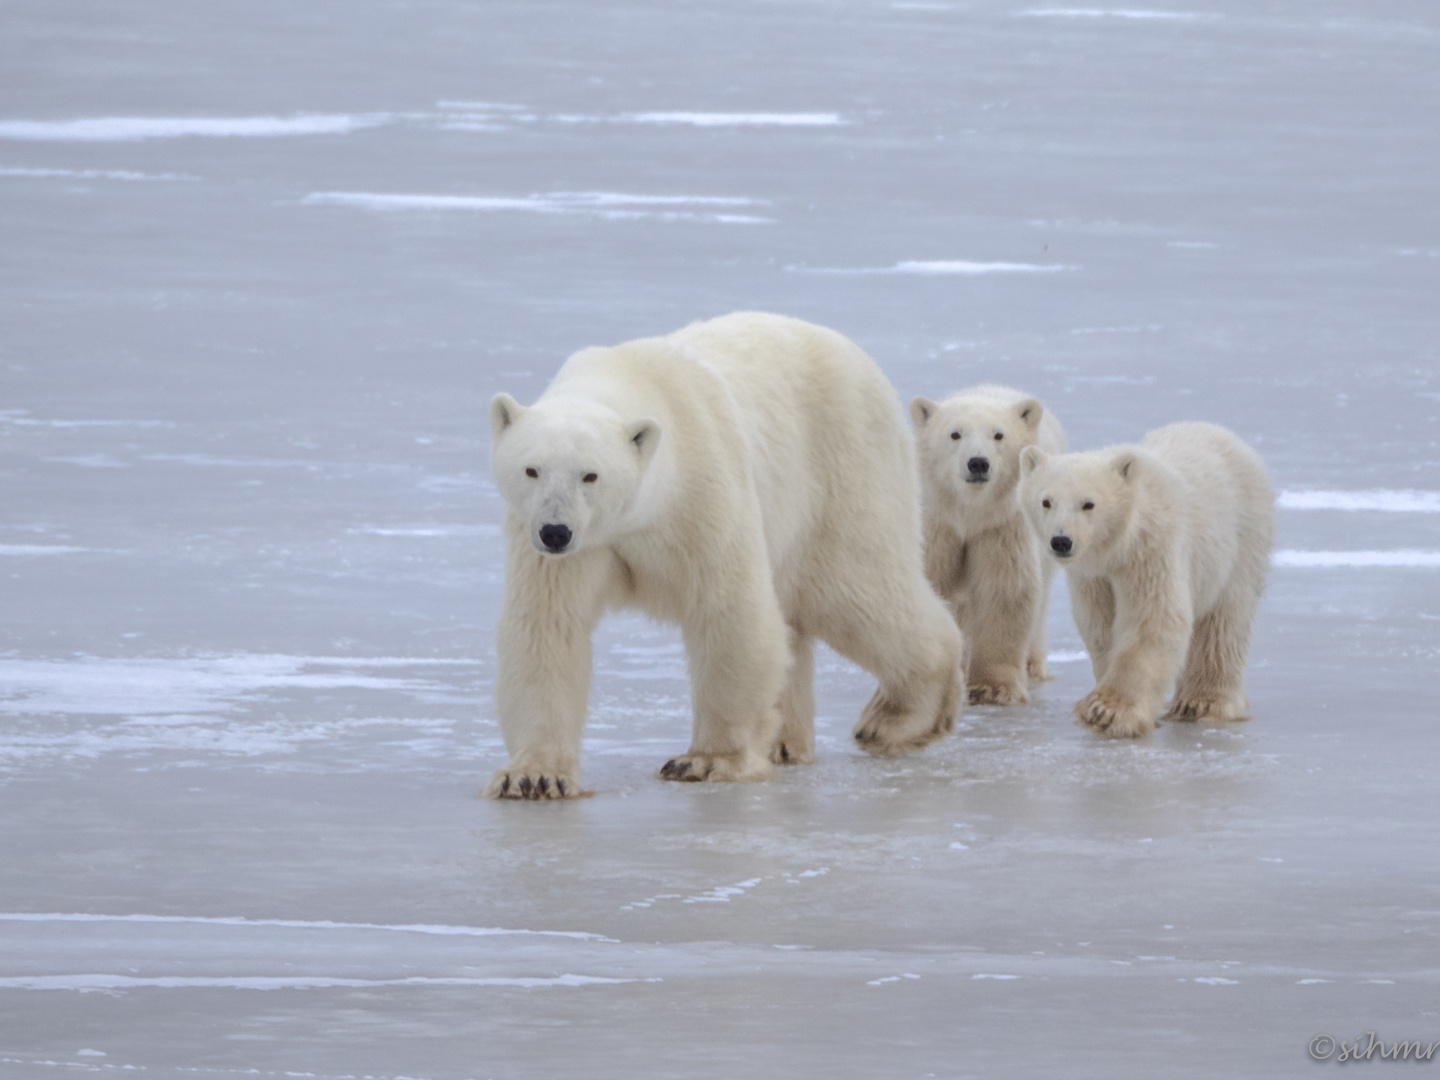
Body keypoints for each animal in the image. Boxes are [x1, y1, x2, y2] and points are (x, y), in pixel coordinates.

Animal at [486, 308, 967, 800]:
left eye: (590, 475)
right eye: (531, 469)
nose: (555, 531)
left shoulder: (703, 492)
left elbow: (728, 610)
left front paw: (706, 760)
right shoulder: (564, 547)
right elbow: (547, 627)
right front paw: (534, 775)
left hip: (842, 468)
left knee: (853, 589)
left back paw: (897, 719)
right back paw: (785, 742)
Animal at [915, 385, 1065, 705]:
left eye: (998, 435)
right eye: (955, 434)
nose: (978, 463)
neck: (970, 512)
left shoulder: (1002, 526)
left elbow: (1005, 589)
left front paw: (992, 688)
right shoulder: (939, 525)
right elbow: (934, 581)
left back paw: (1033, 666)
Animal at [1019, 426, 1278, 743]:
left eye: (1088, 503)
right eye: (1046, 501)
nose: (1061, 541)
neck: (1118, 546)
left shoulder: (1152, 549)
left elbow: (1155, 618)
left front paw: (1107, 711)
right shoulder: (1094, 576)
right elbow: (1100, 626)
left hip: (1242, 536)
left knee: (1224, 621)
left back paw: (1201, 703)